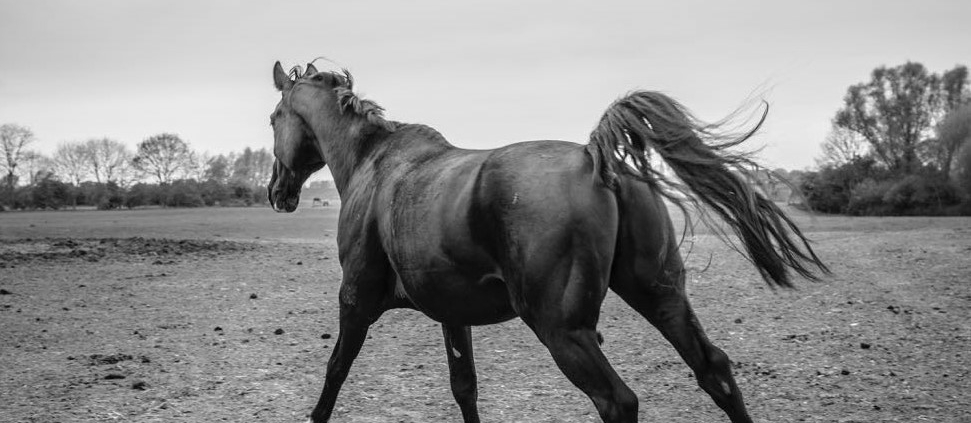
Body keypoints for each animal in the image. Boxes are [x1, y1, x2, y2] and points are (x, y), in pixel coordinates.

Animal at [267, 60, 828, 423]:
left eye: (274, 118)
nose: (277, 192)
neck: (375, 163)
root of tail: (595, 157)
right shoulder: (451, 314)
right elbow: (464, 388)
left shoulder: (355, 300)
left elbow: (335, 373)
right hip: (661, 297)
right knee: (714, 371)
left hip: (563, 331)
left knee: (618, 402)